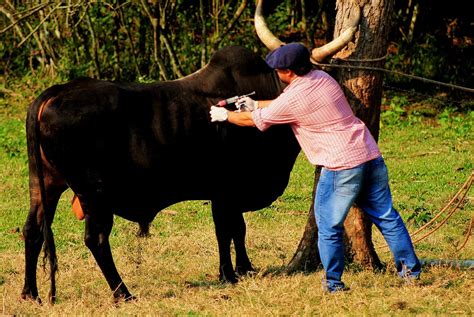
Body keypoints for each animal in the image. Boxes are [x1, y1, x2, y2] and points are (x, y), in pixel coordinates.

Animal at [21, 45, 300, 302]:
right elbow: (228, 229)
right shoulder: (226, 190)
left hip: (45, 183)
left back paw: (30, 293)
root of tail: (56, 91)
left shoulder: (225, 193)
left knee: (32, 230)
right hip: (94, 193)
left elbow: (236, 229)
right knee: (95, 239)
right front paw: (229, 273)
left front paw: (244, 268)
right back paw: (123, 293)